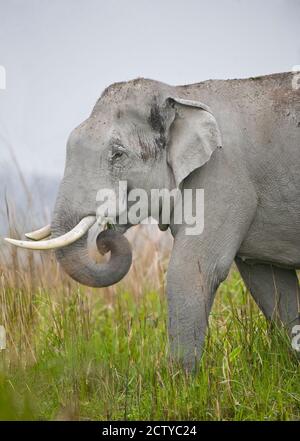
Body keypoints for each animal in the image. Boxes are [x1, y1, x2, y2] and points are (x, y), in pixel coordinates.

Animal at [6, 71, 300, 368]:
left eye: (118, 154)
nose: (105, 236)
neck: (182, 94)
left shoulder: (223, 177)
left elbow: (191, 271)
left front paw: (179, 380)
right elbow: (269, 283)